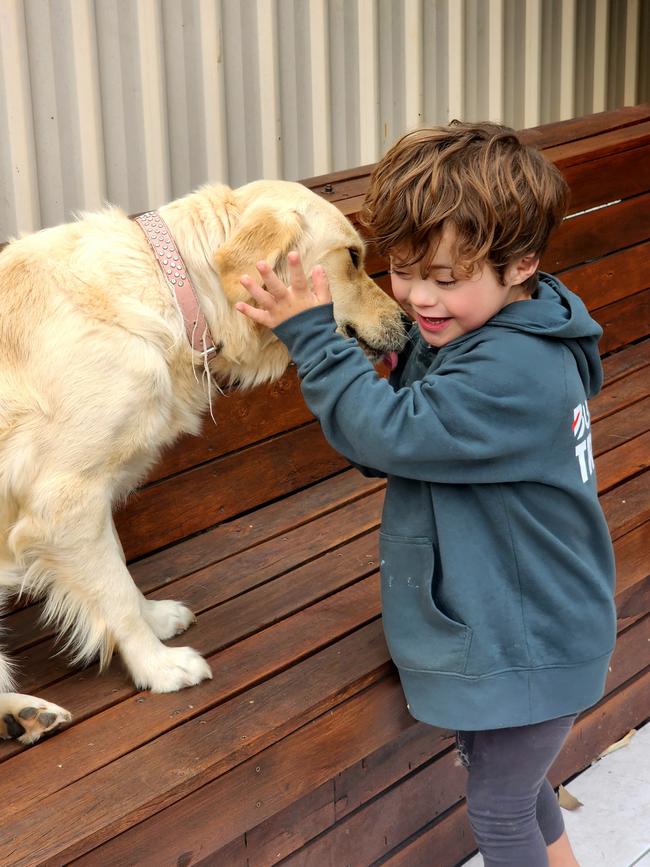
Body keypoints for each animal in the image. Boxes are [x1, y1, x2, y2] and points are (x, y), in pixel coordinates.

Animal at [1, 178, 404, 744]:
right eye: (352, 258)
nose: (407, 323)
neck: (172, 292)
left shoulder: (89, 504)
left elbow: (119, 568)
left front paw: (154, 617)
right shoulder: (65, 501)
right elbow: (114, 595)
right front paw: (158, 666)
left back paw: (22, 715)